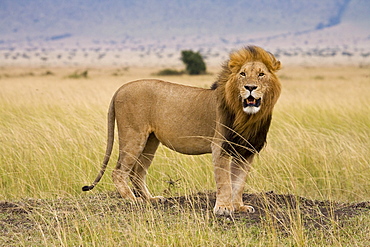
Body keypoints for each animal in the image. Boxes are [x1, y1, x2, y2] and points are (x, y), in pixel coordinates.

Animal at [83, 44, 280, 216]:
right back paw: (133, 200)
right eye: (242, 74)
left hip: (150, 141)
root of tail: (120, 88)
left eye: (261, 74)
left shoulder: (247, 150)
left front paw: (239, 207)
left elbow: (239, 181)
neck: (247, 116)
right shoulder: (220, 147)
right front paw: (224, 208)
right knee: (118, 172)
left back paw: (150, 199)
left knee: (137, 172)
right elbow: (224, 180)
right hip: (133, 135)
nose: (250, 88)